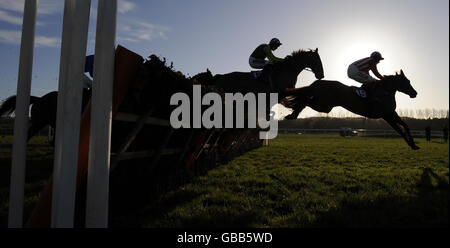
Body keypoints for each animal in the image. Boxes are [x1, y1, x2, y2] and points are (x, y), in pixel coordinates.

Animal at [284, 70, 420, 150]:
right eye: (407, 81)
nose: (415, 93)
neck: (385, 91)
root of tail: (317, 83)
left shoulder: (389, 115)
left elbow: (403, 128)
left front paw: (413, 144)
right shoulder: (388, 114)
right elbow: (402, 128)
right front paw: (412, 143)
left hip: (324, 105)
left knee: (305, 99)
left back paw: (292, 114)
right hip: (323, 104)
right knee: (305, 101)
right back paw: (292, 115)